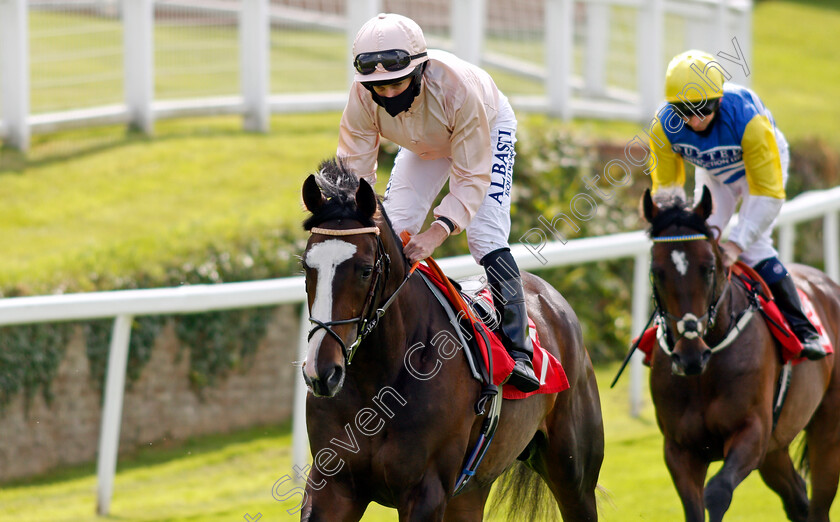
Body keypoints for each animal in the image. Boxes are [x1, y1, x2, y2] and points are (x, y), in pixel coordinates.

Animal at [298, 159, 600, 520]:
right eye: (306, 267)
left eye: (366, 269)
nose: (322, 372)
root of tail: (552, 298)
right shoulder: (332, 486)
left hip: (573, 475)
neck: (378, 383)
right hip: (471, 491)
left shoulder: (426, 491)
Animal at [644, 187, 840, 520]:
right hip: (776, 448)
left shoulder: (753, 433)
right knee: (797, 496)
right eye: (657, 272)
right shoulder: (679, 450)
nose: (690, 356)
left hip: (827, 432)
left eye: (709, 268)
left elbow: (717, 492)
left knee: (818, 504)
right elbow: (694, 508)